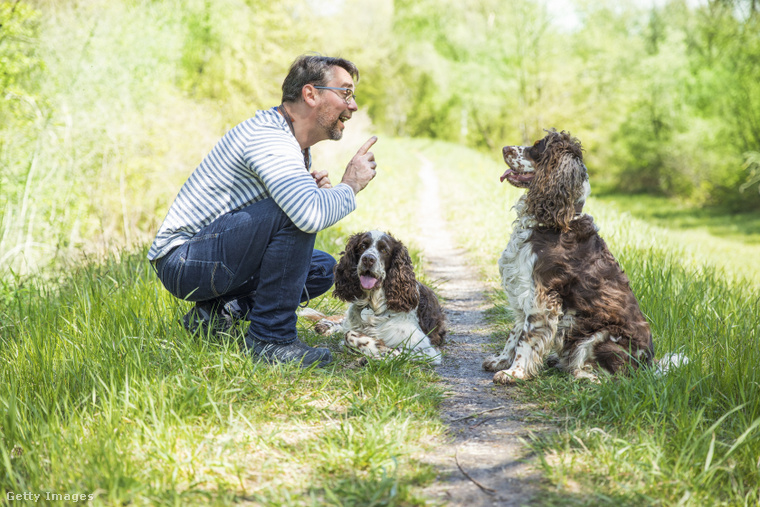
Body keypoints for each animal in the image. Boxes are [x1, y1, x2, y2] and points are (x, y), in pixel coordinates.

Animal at [302, 230, 446, 366]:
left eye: (384, 250)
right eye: (362, 246)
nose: (368, 259)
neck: (373, 305)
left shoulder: (426, 349)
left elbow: (396, 350)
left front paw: (375, 354)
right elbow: (349, 334)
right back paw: (325, 325)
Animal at [484, 129, 656, 382]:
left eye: (536, 146)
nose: (504, 148)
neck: (554, 221)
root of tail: (649, 366)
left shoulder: (541, 297)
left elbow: (525, 338)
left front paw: (514, 372)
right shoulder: (524, 288)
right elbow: (514, 332)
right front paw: (500, 360)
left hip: (601, 335)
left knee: (614, 377)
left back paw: (582, 375)